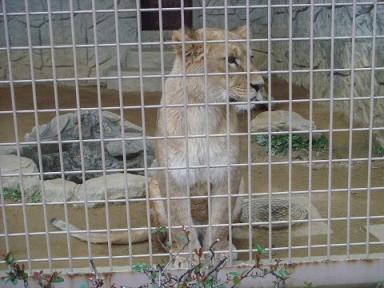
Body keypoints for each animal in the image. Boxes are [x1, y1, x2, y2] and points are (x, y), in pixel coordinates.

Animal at [50, 25, 268, 262]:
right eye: (230, 60)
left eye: (251, 57)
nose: (260, 85)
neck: (203, 111)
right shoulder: (173, 175)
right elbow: (180, 222)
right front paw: (186, 257)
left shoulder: (227, 173)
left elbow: (219, 220)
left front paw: (218, 252)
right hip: (154, 186)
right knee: (162, 234)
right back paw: (173, 249)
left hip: (241, 187)